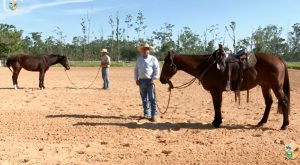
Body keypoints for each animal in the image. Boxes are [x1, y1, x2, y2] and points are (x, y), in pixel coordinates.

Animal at [161, 51, 290, 130]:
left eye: (167, 64)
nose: (162, 79)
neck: (207, 65)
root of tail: (278, 58)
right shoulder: (216, 92)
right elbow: (217, 105)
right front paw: (217, 121)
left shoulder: (216, 91)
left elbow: (217, 105)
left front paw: (217, 122)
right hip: (265, 86)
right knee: (269, 102)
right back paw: (261, 122)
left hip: (276, 87)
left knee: (283, 102)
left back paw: (284, 125)